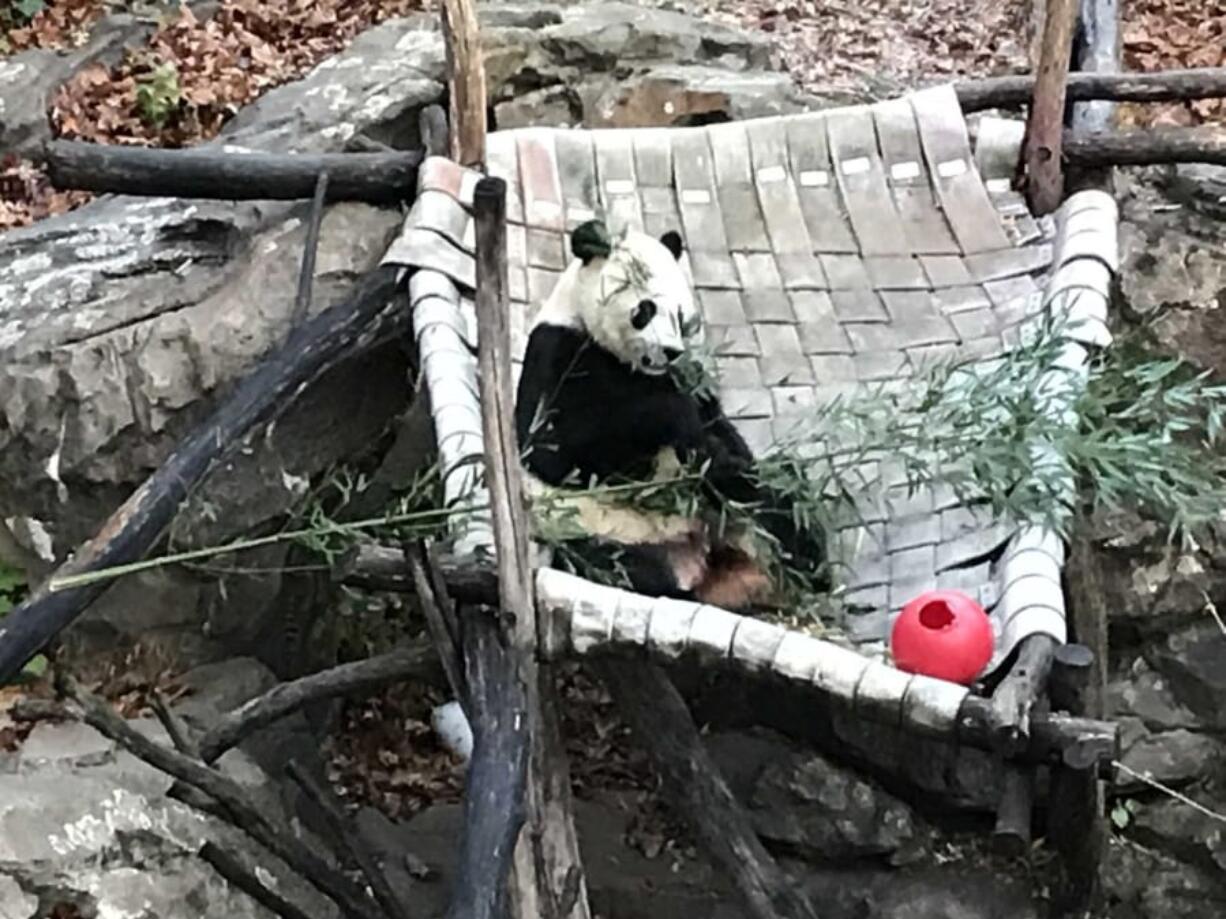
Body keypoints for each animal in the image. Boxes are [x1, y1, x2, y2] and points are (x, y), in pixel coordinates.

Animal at [512, 219, 828, 615]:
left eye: (680, 314)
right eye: (644, 310)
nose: (670, 351)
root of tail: (702, 561)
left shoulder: (685, 378)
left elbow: (720, 430)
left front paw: (710, 448)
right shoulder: (560, 353)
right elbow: (556, 449)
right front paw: (678, 420)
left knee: (779, 499)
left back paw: (807, 566)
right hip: (591, 528)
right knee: (617, 565)